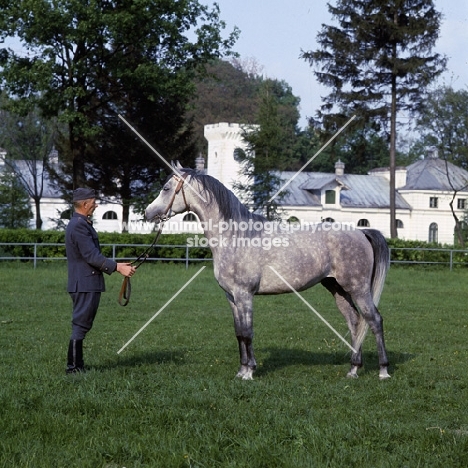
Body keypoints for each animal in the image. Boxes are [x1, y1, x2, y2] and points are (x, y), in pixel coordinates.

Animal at [146, 168, 392, 380]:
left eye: (166, 188)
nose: (148, 213)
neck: (237, 237)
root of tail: (361, 232)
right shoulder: (231, 297)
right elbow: (239, 333)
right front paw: (241, 370)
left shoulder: (244, 295)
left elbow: (247, 332)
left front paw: (249, 372)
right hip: (338, 289)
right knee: (355, 321)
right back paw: (353, 369)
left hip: (358, 288)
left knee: (374, 320)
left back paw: (383, 371)